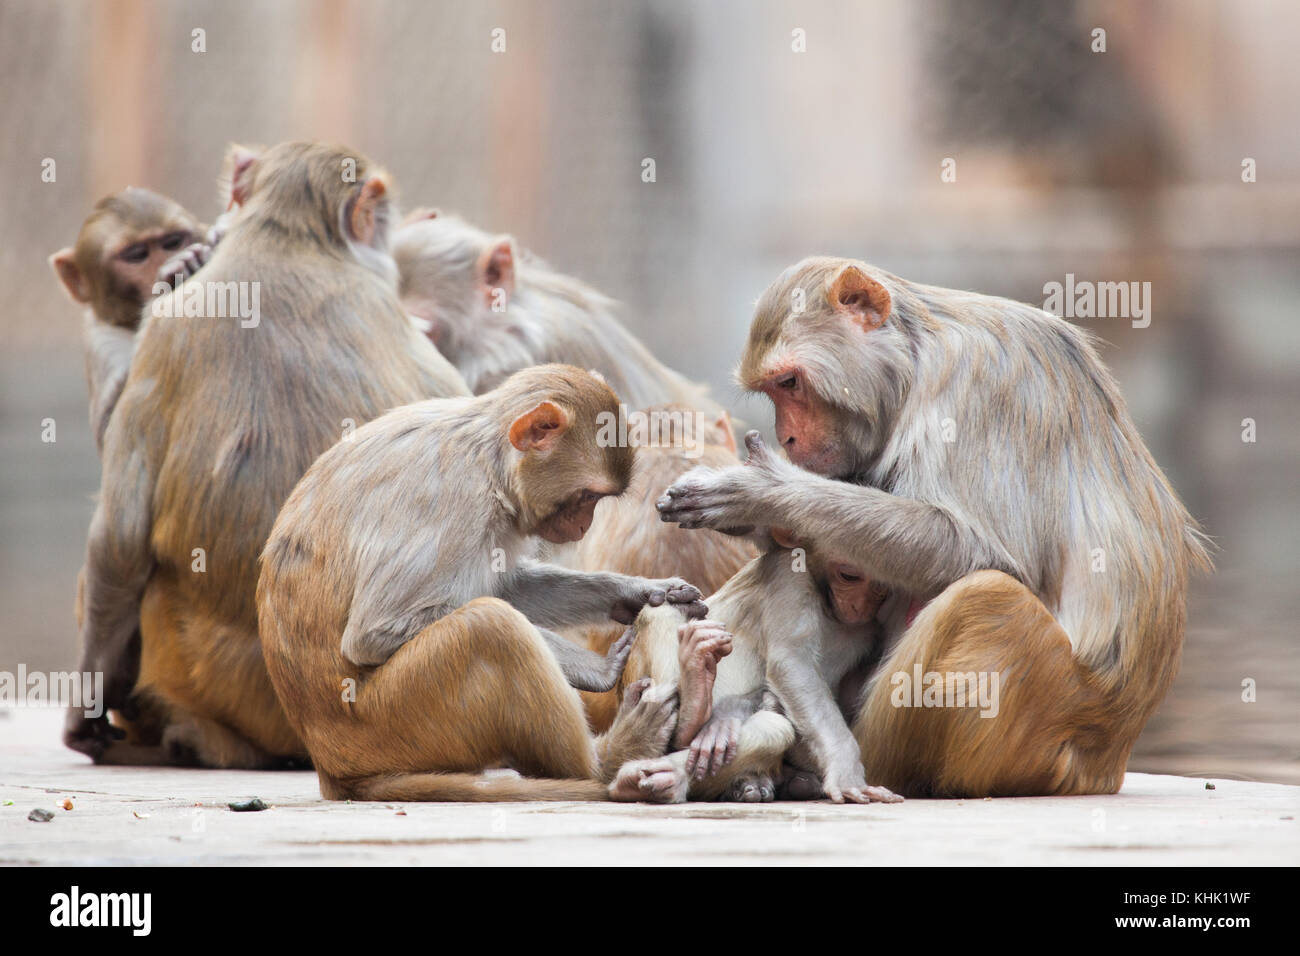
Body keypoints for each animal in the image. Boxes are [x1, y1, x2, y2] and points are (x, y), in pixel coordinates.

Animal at [256, 364, 712, 801]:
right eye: (588, 497)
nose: (584, 526)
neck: (487, 457)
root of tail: (331, 766)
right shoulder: (454, 499)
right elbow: (376, 632)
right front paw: (596, 669)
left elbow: (505, 587)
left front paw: (640, 592)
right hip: (387, 722)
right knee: (490, 627)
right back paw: (609, 758)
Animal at [660, 256, 1216, 801]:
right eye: (773, 389)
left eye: (790, 383)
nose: (788, 438)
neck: (914, 363)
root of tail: (1107, 762)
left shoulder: (975, 389)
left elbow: (981, 553)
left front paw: (763, 491)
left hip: (1038, 725)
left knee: (988, 599)